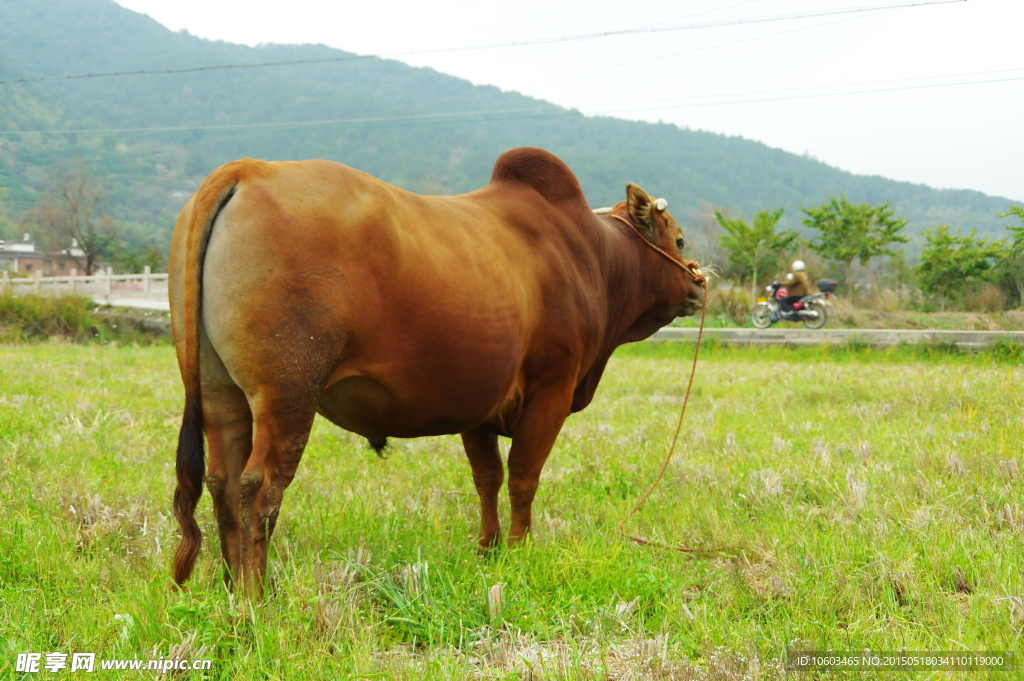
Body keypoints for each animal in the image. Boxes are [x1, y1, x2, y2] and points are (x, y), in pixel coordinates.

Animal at [172, 146, 708, 593]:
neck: (592, 256)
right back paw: (257, 598)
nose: (701, 285)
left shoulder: (480, 405)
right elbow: (523, 477)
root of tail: (250, 169)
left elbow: (488, 478)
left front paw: (488, 549)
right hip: (287, 393)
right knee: (259, 488)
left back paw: (228, 585)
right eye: (680, 239)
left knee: (222, 483)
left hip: (221, 392)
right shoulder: (550, 391)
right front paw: (519, 550)